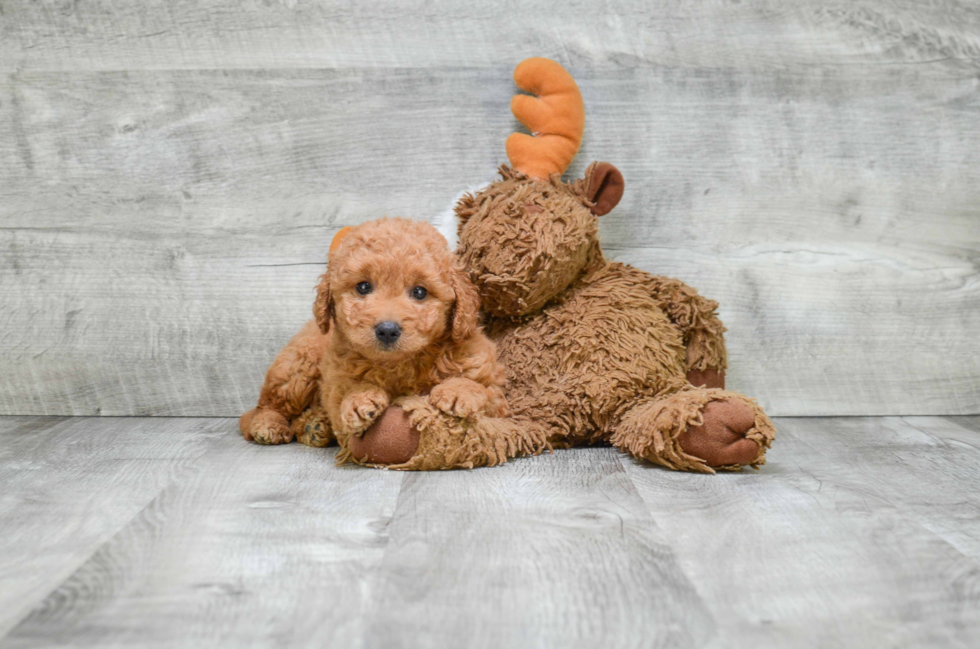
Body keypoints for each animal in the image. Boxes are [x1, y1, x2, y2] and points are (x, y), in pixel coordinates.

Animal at [239, 215, 506, 458]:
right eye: (363, 287)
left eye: (420, 292)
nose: (387, 329)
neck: (401, 364)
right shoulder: (336, 388)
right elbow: (347, 398)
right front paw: (360, 398)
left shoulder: (496, 393)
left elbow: (484, 391)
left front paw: (459, 391)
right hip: (298, 367)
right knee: (263, 407)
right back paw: (269, 425)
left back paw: (314, 425)